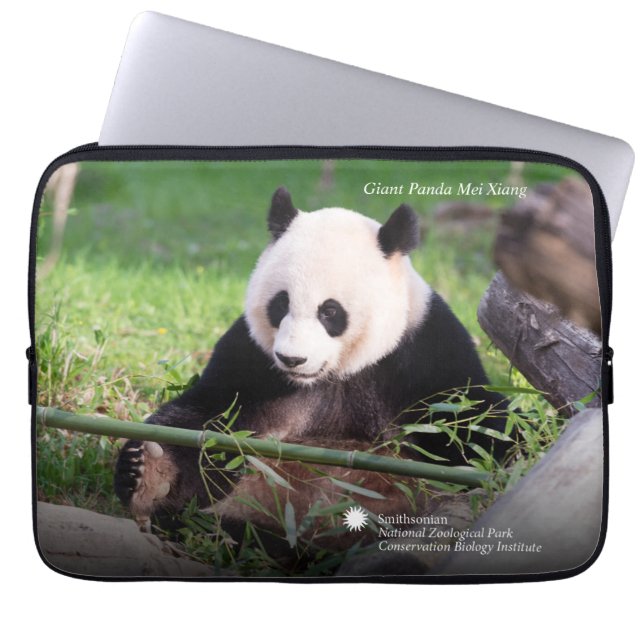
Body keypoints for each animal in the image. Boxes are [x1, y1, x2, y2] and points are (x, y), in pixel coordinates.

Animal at [114, 187, 507, 543]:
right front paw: (149, 472)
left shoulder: (422, 355)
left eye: (330, 311)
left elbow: (474, 426)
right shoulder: (251, 359)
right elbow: (208, 421)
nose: (292, 359)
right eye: (280, 303)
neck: (334, 374)